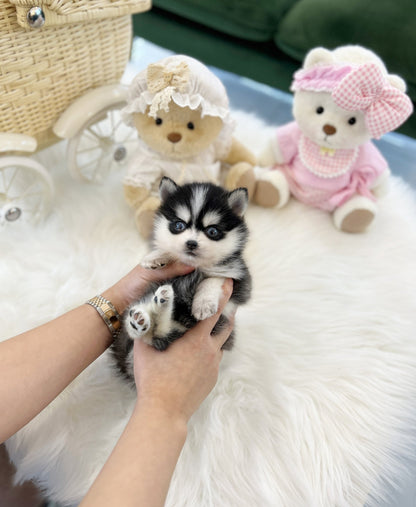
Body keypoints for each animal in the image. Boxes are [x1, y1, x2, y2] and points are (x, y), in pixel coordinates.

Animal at [110, 179, 252, 384]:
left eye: (212, 231)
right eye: (179, 226)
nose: (191, 243)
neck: (195, 267)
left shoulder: (240, 280)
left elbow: (214, 279)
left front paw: (204, 303)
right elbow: (170, 251)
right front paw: (156, 256)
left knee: (158, 334)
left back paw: (158, 307)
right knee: (147, 335)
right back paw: (142, 319)